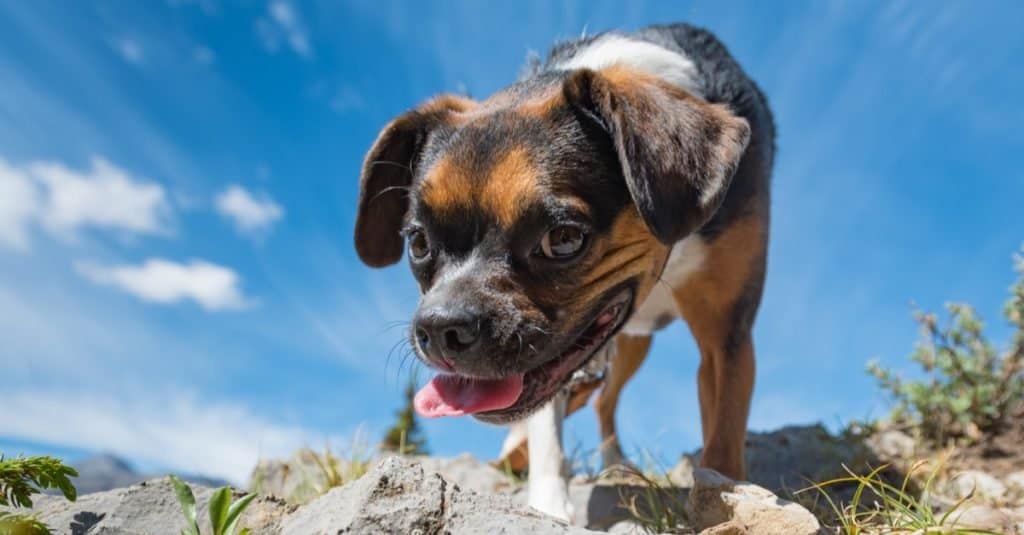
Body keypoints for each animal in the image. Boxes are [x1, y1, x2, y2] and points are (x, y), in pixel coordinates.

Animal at [356, 22, 770, 518]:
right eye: (418, 243)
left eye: (564, 238)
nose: (440, 328)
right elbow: (545, 425)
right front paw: (549, 504)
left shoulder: (727, 337)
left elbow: (723, 433)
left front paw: (727, 500)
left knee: (604, 401)